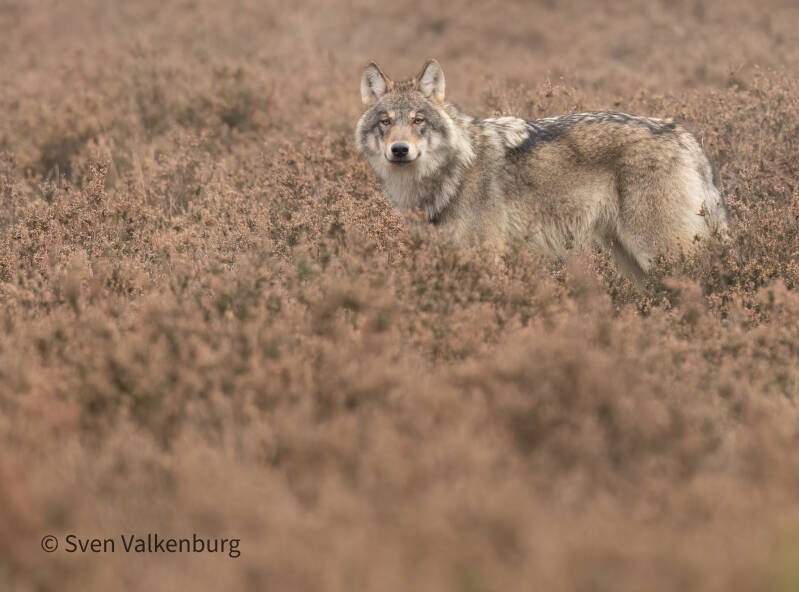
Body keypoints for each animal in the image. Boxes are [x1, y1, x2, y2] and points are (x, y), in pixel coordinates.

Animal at [355, 59, 728, 281]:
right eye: (386, 122)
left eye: (418, 121)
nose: (399, 150)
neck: (453, 172)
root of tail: (683, 135)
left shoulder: (489, 257)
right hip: (633, 262)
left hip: (662, 255)